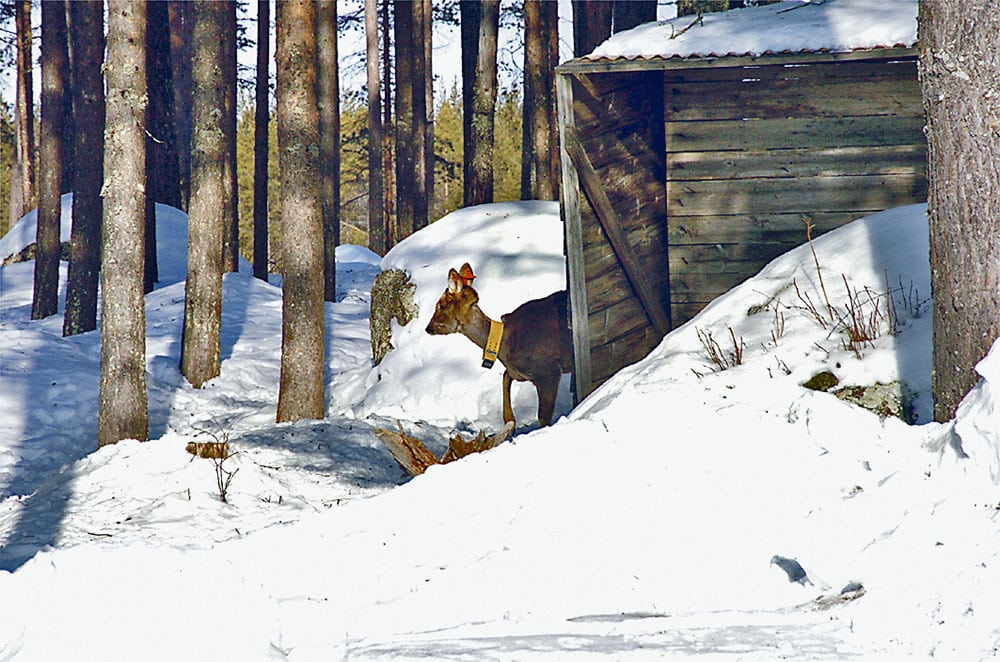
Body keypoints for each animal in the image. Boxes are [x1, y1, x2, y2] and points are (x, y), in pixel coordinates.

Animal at [424, 264, 580, 430]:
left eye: (441, 305)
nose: (428, 328)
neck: (505, 346)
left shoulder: (548, 370)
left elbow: (543, 418)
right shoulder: (520, 372)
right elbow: (505, 377)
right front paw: (509, 422)